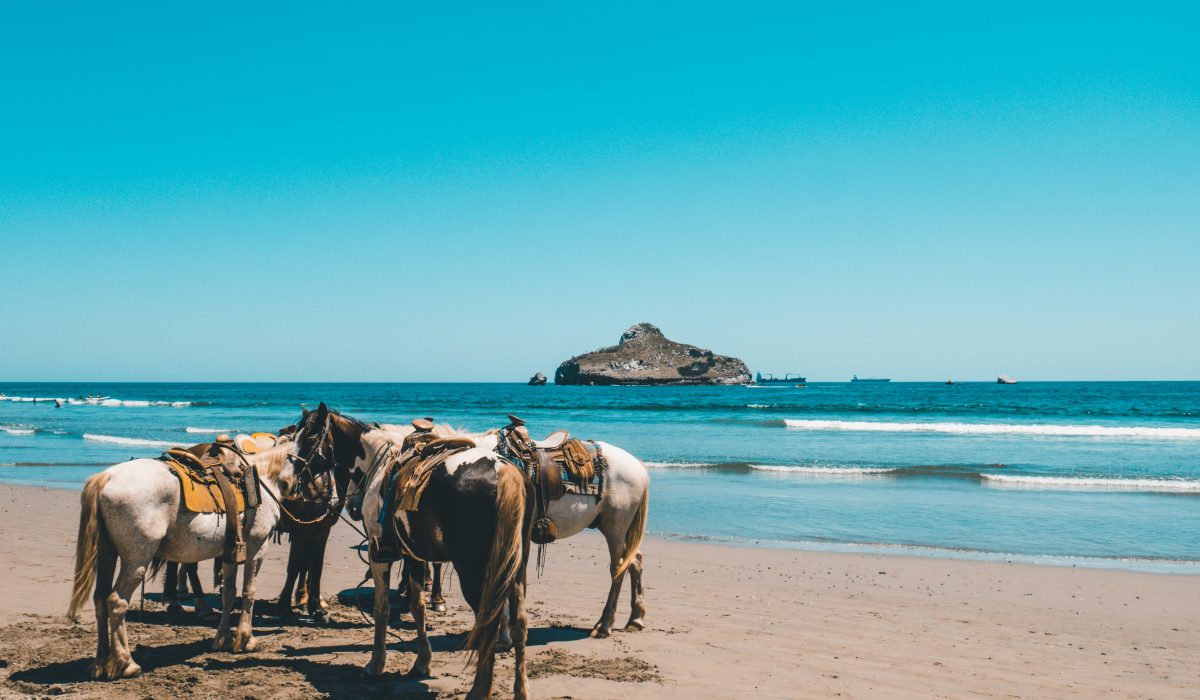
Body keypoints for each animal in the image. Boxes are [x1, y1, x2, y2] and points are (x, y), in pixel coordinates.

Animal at [67, 440, 297, 680]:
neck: (262, 478)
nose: (292, 488)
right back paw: (126, 663)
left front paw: (223, 639)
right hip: (136, 560)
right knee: (117, 602)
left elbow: (228, 594)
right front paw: (246, 640)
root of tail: (106, 477)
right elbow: (248, 592)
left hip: (107, 555)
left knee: (100, 599)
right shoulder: (257, 547)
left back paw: (100, 663)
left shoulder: (230, 553)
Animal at [294, 403, 532, 700]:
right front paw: (422, 661)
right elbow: (417, 607)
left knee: (488, 620)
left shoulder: (378, 554)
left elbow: (382, 608)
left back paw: (479, 690)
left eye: (308, 439)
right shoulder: (414, 556)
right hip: (515, 567)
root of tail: (505, 472)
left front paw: (375, 664)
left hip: (474, 571)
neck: (378, 465)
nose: (295, 476)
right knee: (519, 622)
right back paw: (520, 690)